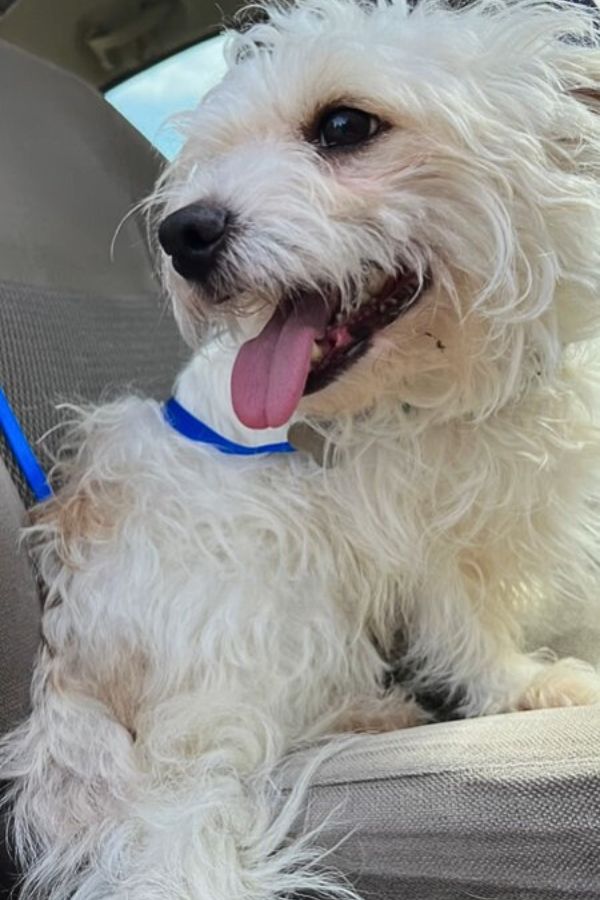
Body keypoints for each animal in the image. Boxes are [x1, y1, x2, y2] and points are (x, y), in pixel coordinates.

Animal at [1, 0, 600, 896]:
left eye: (345, 124)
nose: (183, 233)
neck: (457, 384)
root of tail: (66, 692)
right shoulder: (407, 527)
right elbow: (464, 619)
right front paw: (526, 685)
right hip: (272, 558)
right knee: (216, 730)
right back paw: (368, 710)